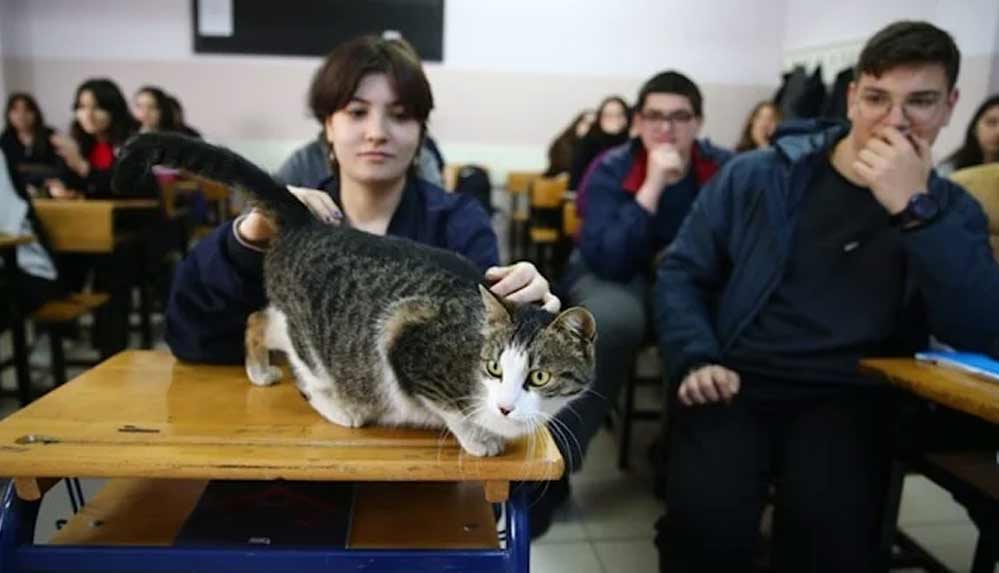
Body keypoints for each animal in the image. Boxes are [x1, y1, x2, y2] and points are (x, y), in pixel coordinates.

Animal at [111, 133, 592, 456]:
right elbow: (450, 409)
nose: (507, 407)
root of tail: (305, 221)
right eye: (493, 368)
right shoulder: (405, 338)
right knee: (302, 361)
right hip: (316, 336)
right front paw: (478, 438)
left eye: (539, 377)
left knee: (258, 318)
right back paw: (336, 405)